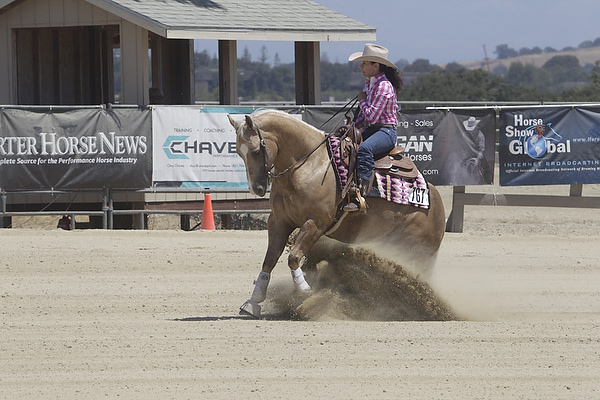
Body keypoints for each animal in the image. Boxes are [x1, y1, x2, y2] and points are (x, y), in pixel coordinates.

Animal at [227, 110, 446, 318]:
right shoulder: (278, 221)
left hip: (414, 250)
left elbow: (294, 257)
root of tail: (435, 202)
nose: (256, 189)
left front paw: (305, 292)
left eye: (256, 151)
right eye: (238, 152)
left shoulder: (315, 223)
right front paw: (253, 302)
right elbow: (270, 260)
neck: (309, 165)